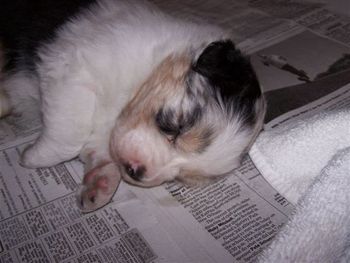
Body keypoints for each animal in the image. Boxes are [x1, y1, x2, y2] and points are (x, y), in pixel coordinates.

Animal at [0, 0, 266, 211]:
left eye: (181, 178)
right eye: (177, 127)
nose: (136, 171)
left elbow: (95, 148)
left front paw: (100, 185)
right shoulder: (71, 66)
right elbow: (70, 134)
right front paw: (33, 157)